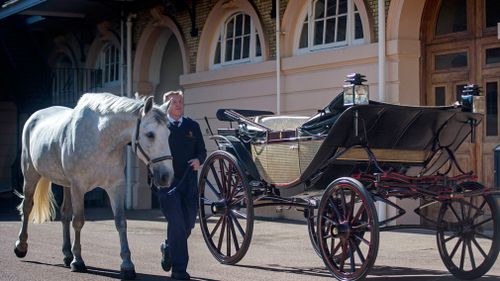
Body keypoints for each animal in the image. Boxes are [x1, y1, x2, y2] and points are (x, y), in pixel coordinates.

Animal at [13, 92, 174, 278]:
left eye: (168, 133)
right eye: (150, 134)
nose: (166, 176)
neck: (100, 137)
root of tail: (35, 116)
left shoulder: (116, 186)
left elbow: (120, 222)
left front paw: (127, 265)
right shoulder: (78, 186)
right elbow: (78, 221)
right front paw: (78, 261)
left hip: (66, 184)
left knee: (65, 214)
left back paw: (67, 254)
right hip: (31, 174)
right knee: (27, 206)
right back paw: (21, 246)